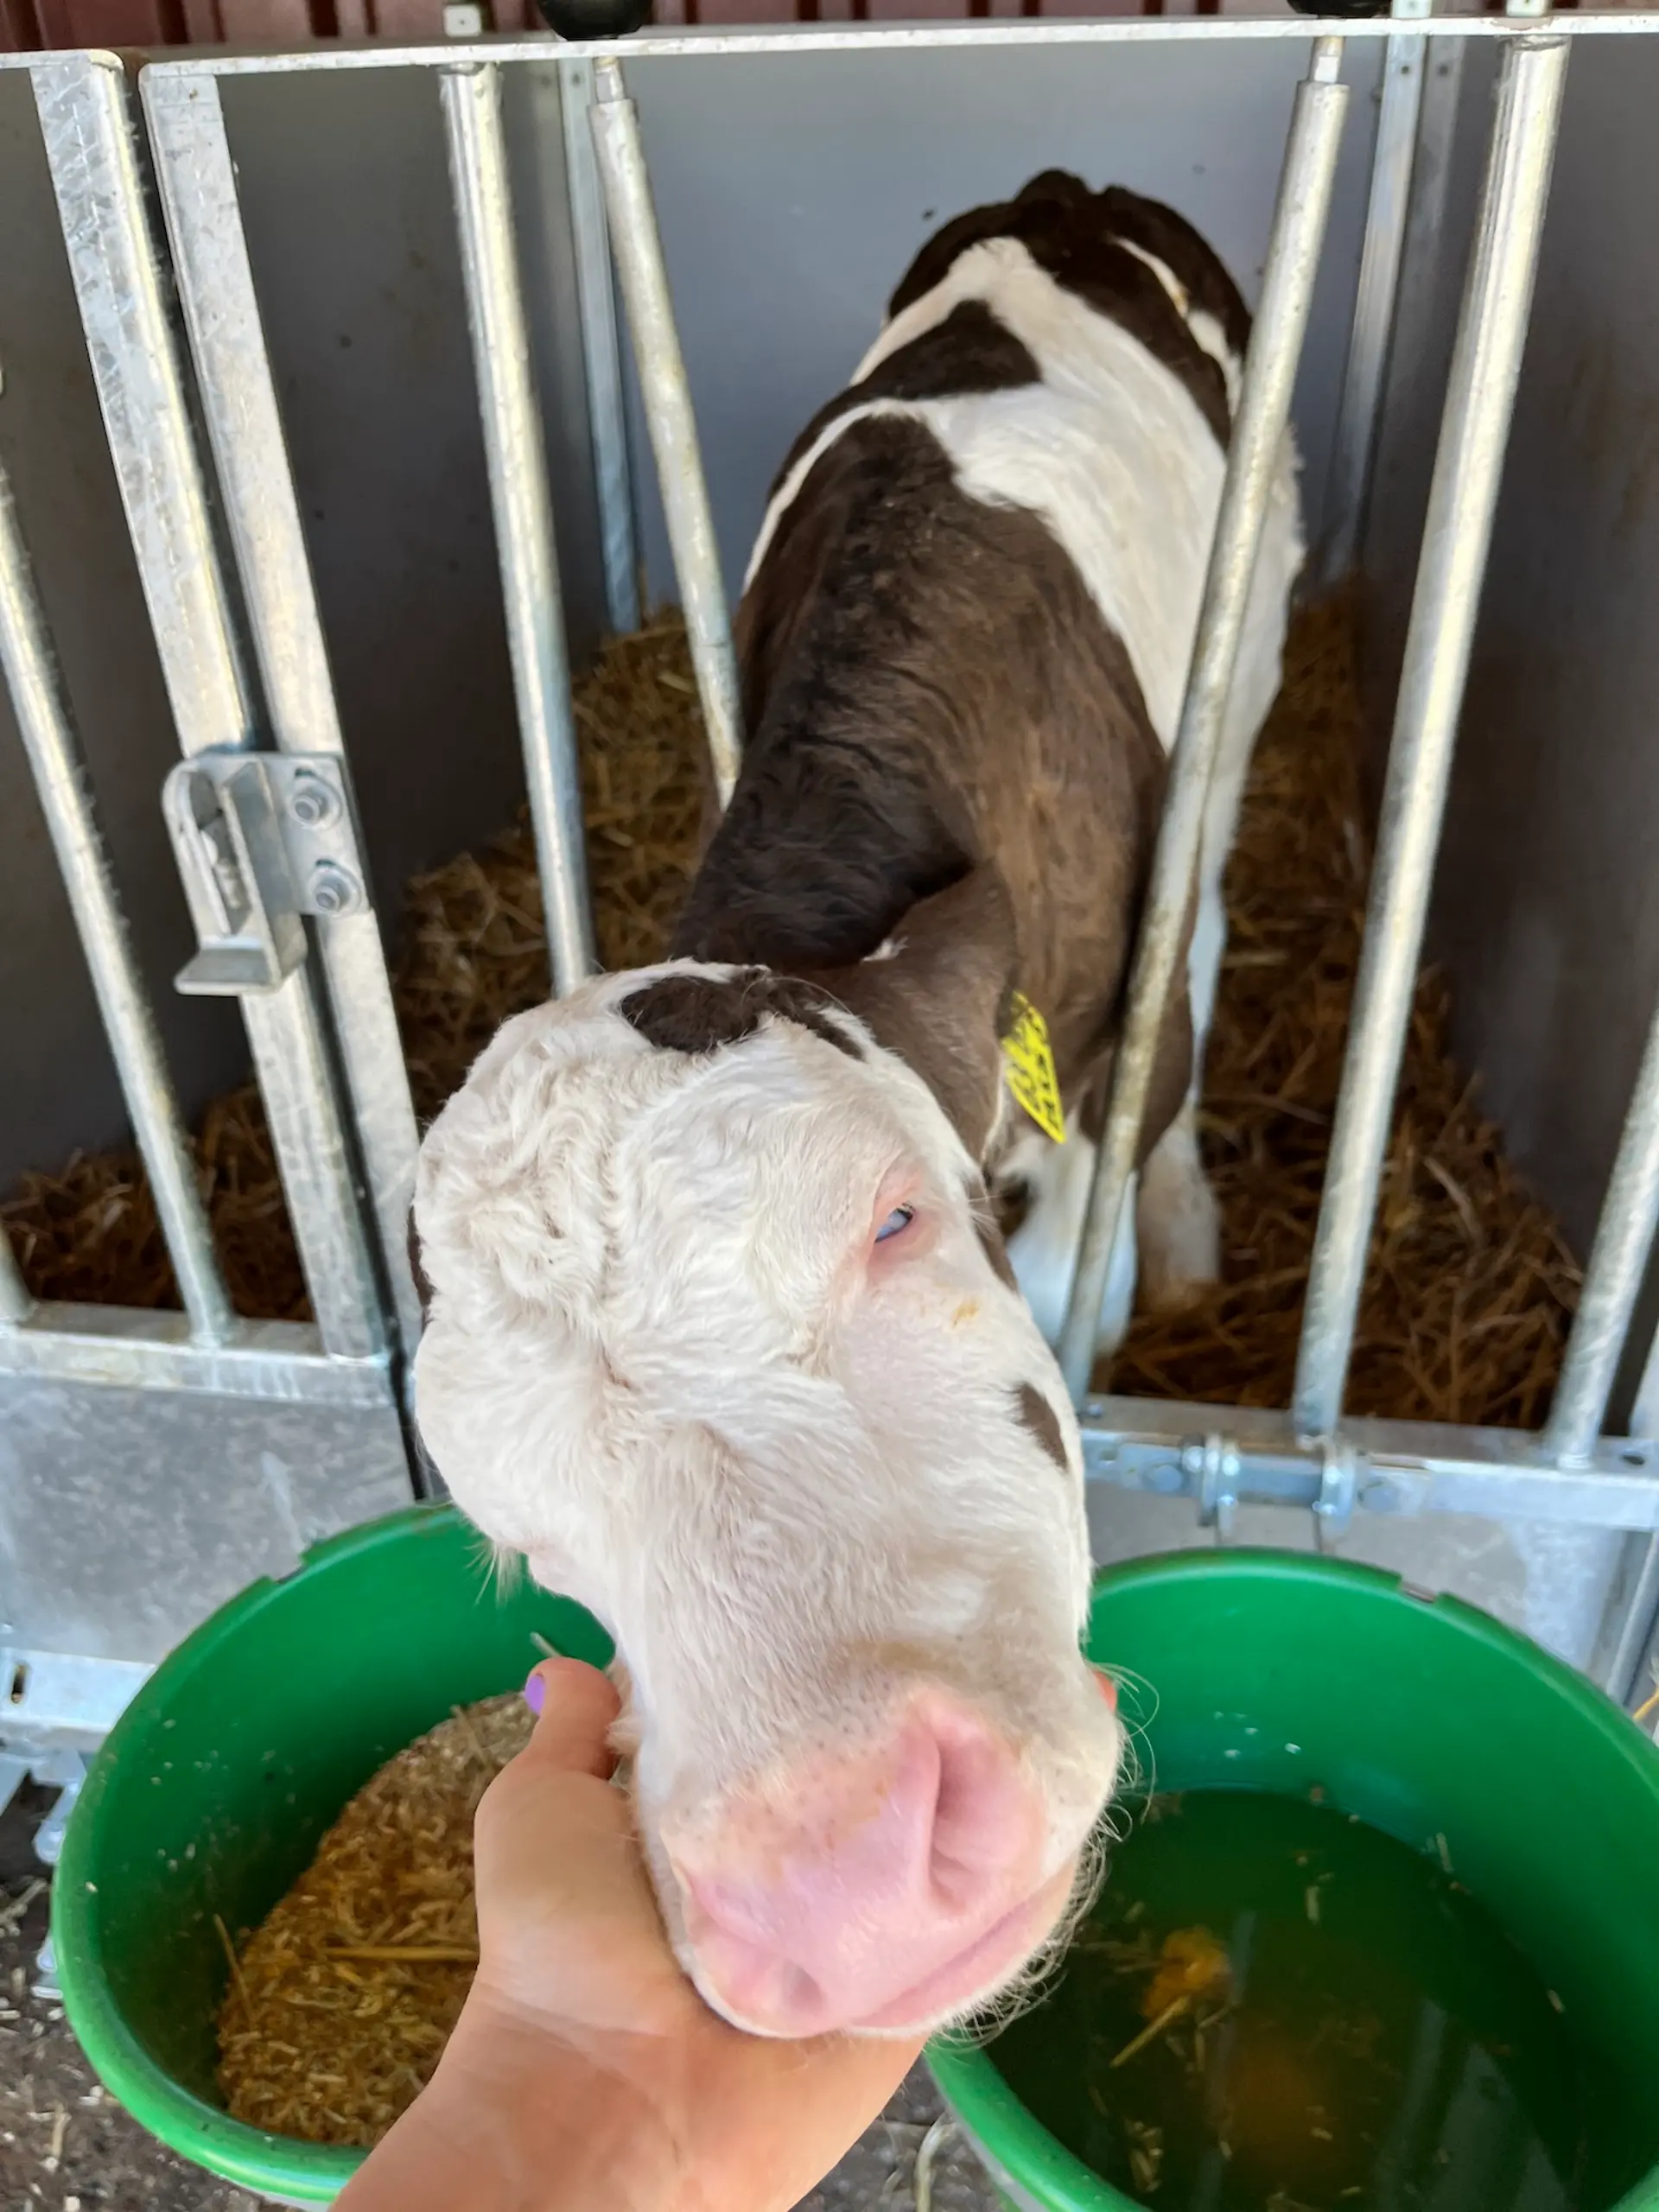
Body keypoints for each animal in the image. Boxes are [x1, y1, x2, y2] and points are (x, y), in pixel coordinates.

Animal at [412, 171, 1303, 2042]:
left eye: (896, 1220)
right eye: (525, 1547)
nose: (847, 1881)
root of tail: (1061, 192)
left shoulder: (1111, 1057)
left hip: (1251, 650)